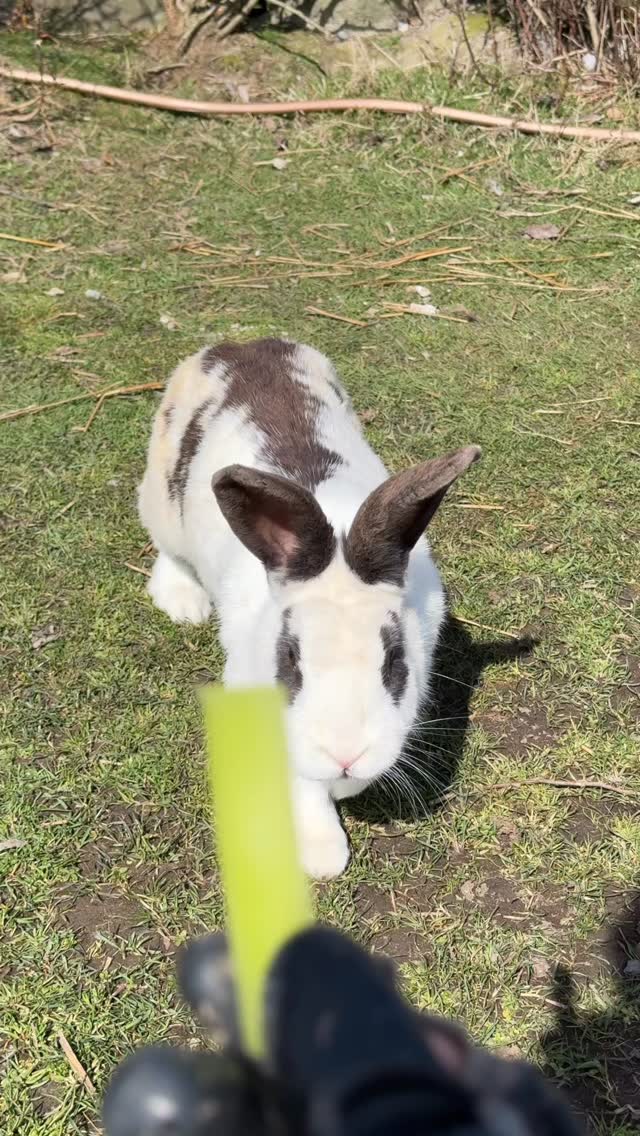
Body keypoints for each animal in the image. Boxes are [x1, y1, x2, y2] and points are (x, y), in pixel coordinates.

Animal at [138, 338, 480, 879]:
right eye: (290, 660)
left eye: (395, 662)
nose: (345, 754)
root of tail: (240, 345)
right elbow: (302, 785)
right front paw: (322, 855)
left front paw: (345, 789)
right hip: (160, 502)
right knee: (168, 549)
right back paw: (183, 602)